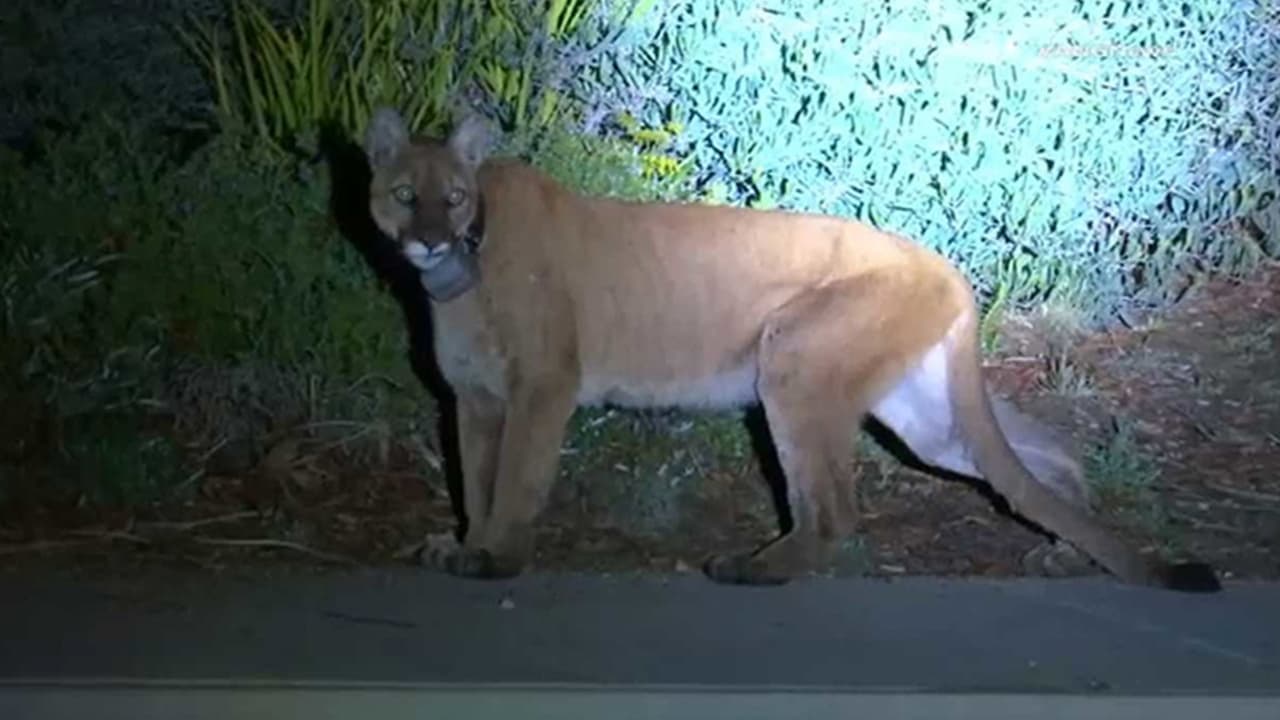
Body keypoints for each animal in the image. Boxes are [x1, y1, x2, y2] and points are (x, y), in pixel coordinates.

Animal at [362, 106, 1219, 592]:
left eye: (454, 197)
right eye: (405, 195)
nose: (429, 238)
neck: (463, 271)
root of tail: (943, 264)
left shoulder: (543, 385)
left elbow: (515, 481)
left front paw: (496, 557)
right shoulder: (475, 399)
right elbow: (475, 481)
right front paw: (464, 544)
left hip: (795, 364)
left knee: (834, 511)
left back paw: (752, 568)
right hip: (921, 415)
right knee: (1040, 458)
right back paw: (1068, 555)